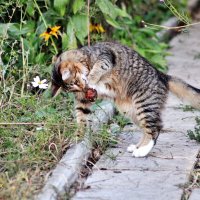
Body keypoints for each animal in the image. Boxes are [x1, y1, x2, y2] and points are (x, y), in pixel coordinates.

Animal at [51, 42, 200, 157]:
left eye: (76, 81)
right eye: (74, 87)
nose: (83, 87)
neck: (85, 57)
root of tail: (161, 75)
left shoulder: (105, 56)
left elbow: (98, 68)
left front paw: (91, 79)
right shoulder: (82, 100)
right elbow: (81, 117)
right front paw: (77, 136)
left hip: (144, 105)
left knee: (156, 128)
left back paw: (142, 152)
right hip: (133, 112)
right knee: (147, 130)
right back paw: (138, 147)